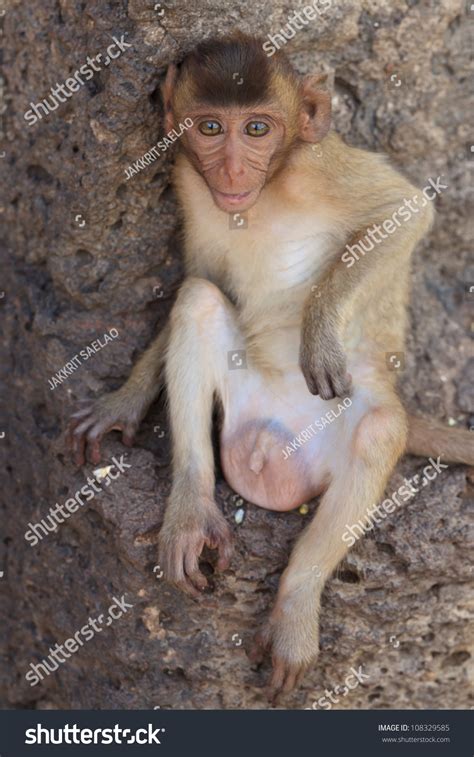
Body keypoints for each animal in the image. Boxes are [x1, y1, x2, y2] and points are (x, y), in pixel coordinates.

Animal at [69, 34, 474, 696]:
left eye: (258, 129)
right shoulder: (189, 182)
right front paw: (124, 400)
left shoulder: (318, 164)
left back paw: (294, 606)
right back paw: (192, 511)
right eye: (211, 127)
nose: (233, 171)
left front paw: (318, 331)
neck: (268, 190)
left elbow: (405, 211)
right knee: (199, 302)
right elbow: (198, 274)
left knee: (381, 427)